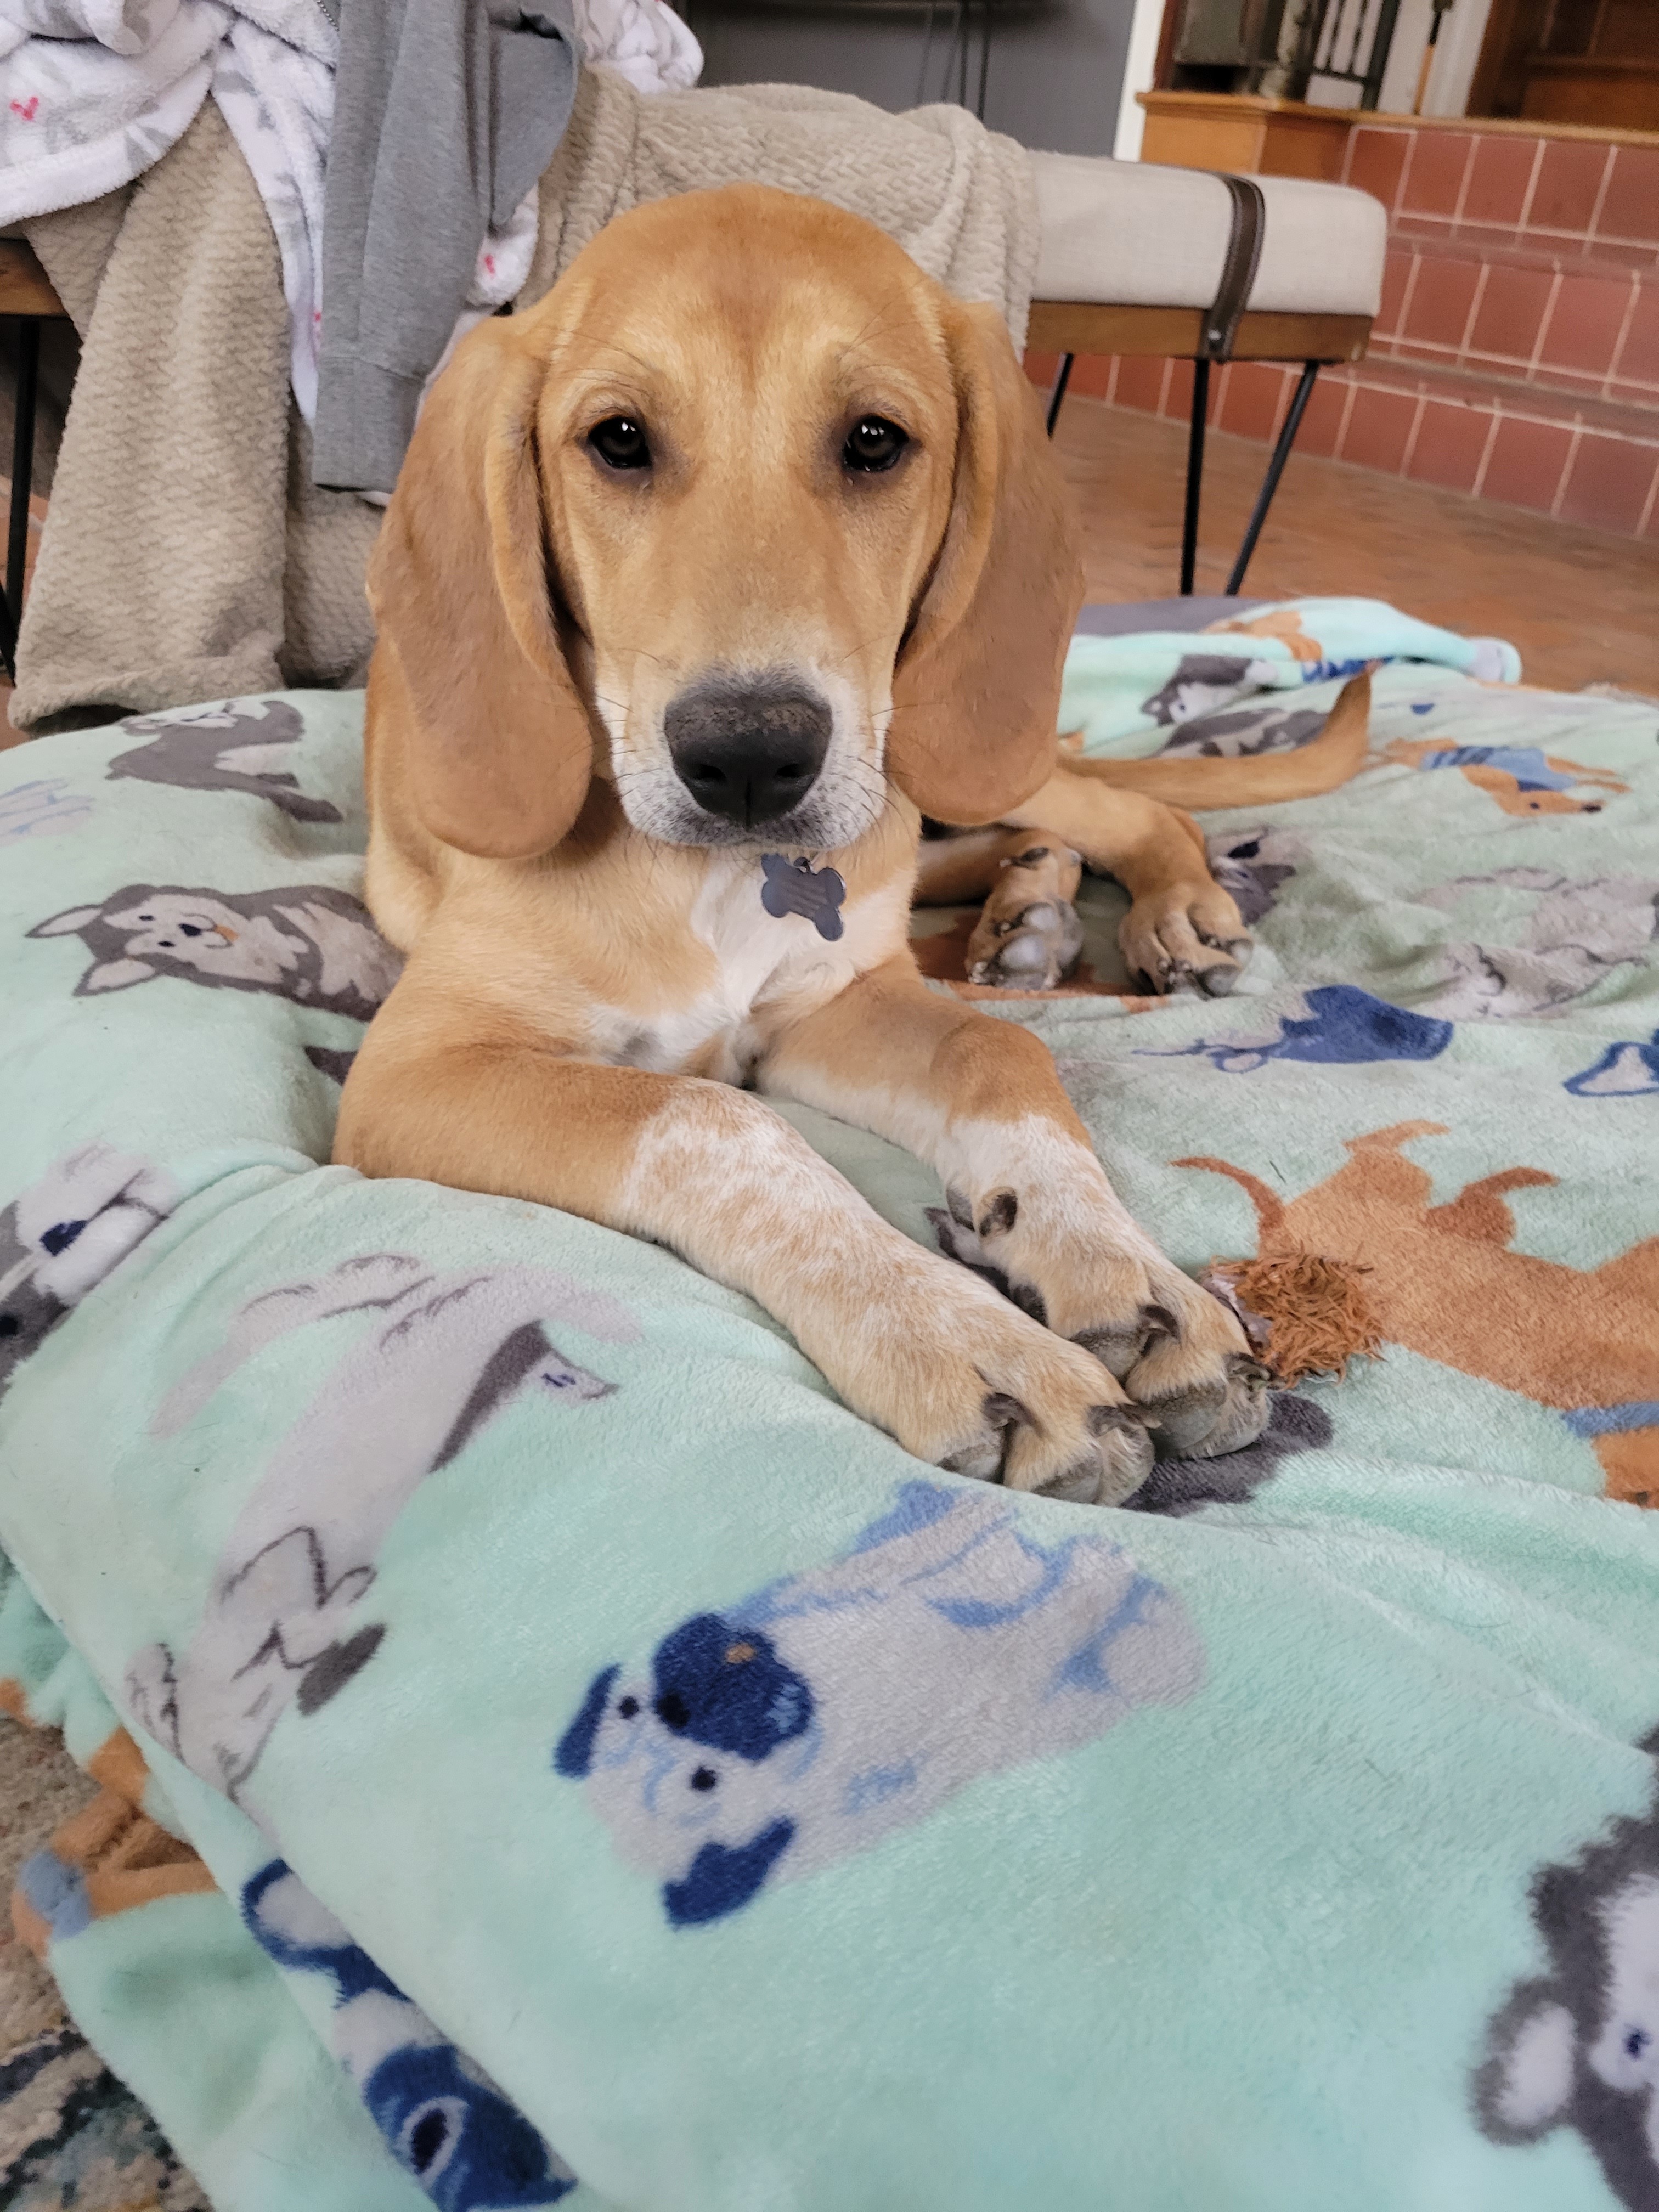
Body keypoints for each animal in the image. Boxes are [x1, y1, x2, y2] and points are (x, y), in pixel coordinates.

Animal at [338, 185, 1300, 1504]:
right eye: (619, 440)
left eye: (875, 442)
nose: (749, 758)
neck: (716, 882)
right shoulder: (415, 1073)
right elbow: (714, 1117)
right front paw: (960, 1333)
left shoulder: (827, 1001)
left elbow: (996, 1051)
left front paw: (1131, 1275)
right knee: (992, 850)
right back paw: (1027, 913)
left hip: (944, 746)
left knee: (1126, 811)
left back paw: (1164, 915)